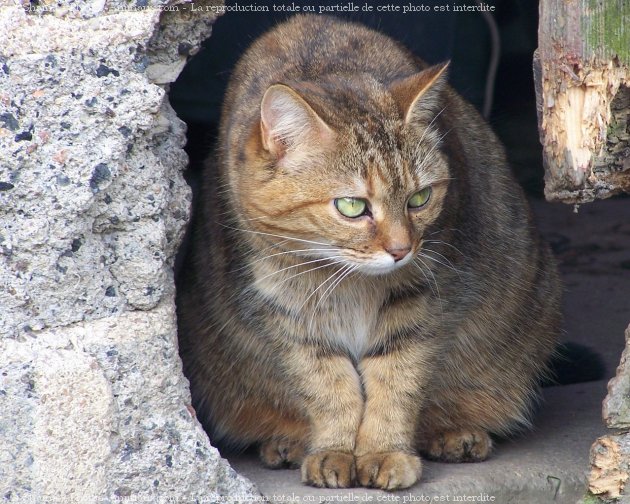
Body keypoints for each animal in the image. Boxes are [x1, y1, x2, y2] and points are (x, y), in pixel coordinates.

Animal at [179, 13, 564, 490]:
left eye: (420, 198)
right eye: (352, 206)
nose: (402, 250)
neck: (349, 282)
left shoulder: (423, 303)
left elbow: (397, 382)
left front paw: (383, 451)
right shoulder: (288, 313)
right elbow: (329, 388)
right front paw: (335, 450)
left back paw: (456, 434)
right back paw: (286, 443)